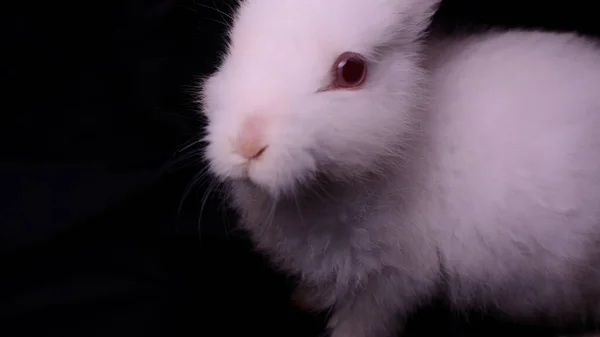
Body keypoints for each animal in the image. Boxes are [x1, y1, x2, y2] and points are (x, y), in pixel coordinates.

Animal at [199, 0, 600, 336]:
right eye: (232, 47)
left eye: (351, 71)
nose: (247, 144)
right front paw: (305, 299)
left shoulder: (390, 279)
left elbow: (364, 320)